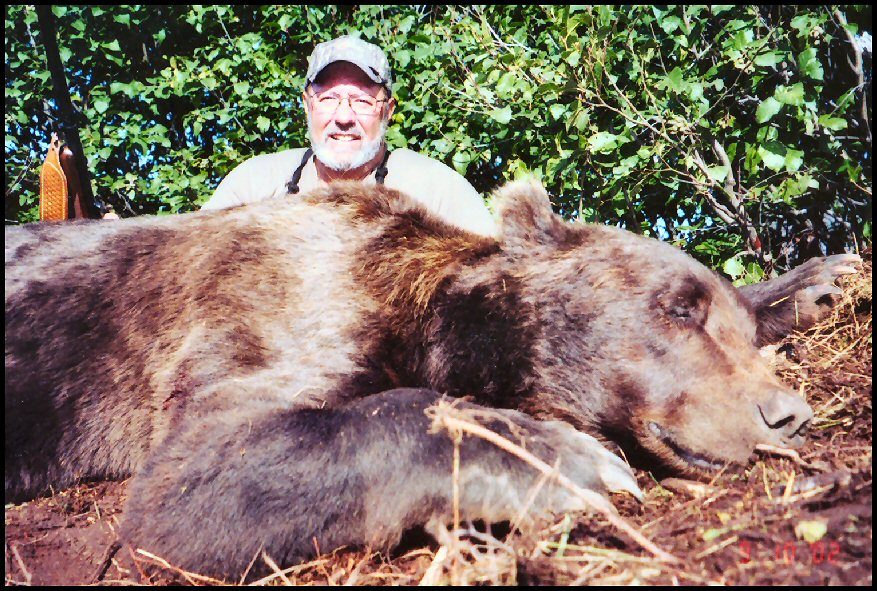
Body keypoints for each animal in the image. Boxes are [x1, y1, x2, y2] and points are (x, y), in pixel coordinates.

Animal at [4, 180, 859, 579]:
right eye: (677, 308)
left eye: (722, 316)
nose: (783, 413)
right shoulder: (263, 313)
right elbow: (190, 483)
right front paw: (566, 458)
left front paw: (816, 278)